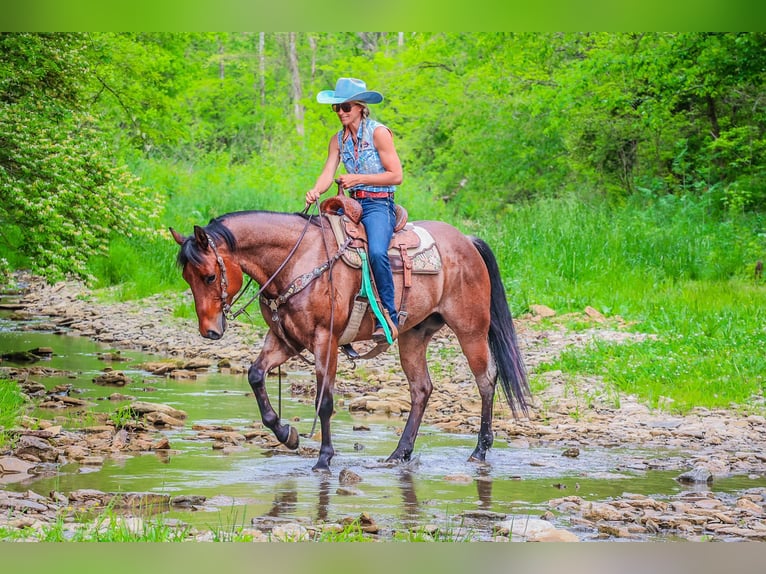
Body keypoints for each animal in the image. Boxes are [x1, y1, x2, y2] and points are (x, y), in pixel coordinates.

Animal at [171, 208, 532, 472]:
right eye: (187, 277)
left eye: (210, 276)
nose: (210, 331)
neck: (298, 261)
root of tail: (467, 241)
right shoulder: (285, 340)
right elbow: (256, 375)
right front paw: (287, 435)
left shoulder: (325, 340)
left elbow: (325, 402)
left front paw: (324, 458)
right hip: (413, 336)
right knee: (421, 389)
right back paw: (399, 453)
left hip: (470, 329)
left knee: (486, 380)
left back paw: (480, 450)